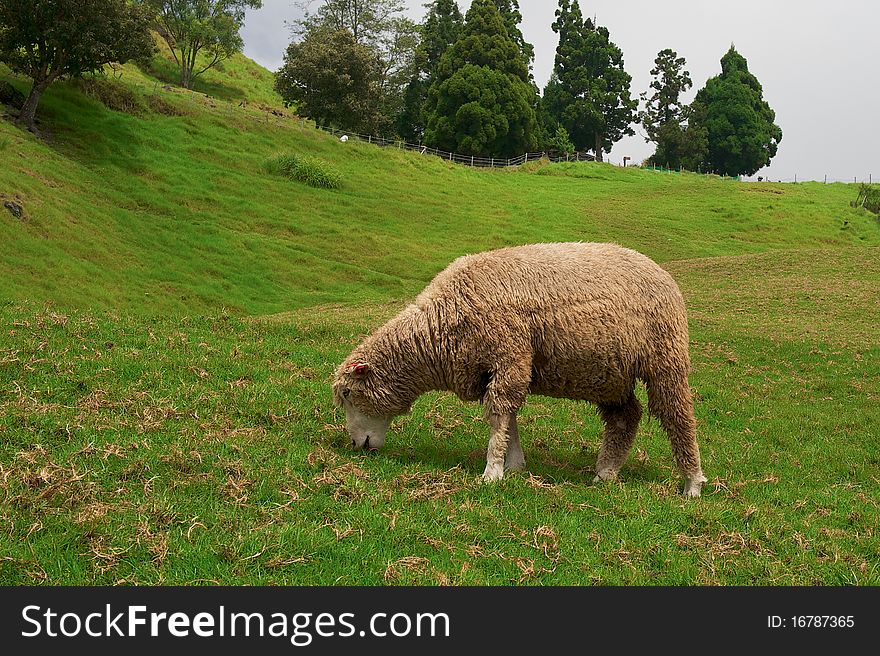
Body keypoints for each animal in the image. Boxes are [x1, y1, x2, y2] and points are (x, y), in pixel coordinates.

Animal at [330, 243, 708, 494]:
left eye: (348, 394)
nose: (356, 445)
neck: (439, 327)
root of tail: (663, 273)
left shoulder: (509, 354)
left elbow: (498, 414)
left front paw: (492, 471)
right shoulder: (494, 367)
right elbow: (508, 416)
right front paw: (513, 463)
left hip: (665, 357)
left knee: (678, 415)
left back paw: (692, 482)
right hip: (609, 373)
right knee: (626, 416)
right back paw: (605, 473)